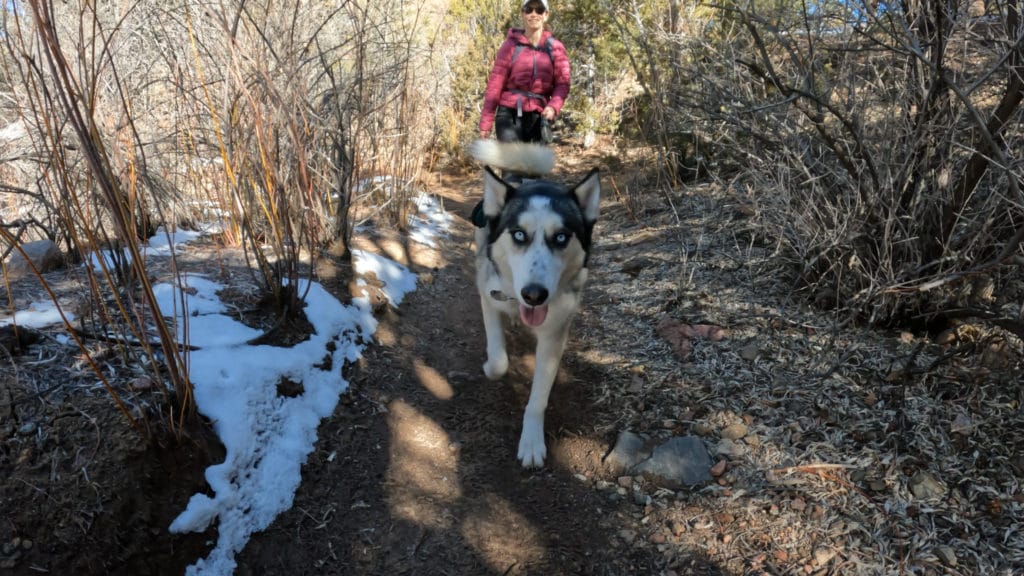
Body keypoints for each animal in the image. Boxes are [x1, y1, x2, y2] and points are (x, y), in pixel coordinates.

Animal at [466, 140, 598, 467]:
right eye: (519, 234)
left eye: (561, 237)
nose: (535, 295)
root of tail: (524, 177)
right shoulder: (489, 297)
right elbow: (499, 360)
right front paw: (490, 366)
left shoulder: (554, 334)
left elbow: (539, 397)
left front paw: (532, 441)